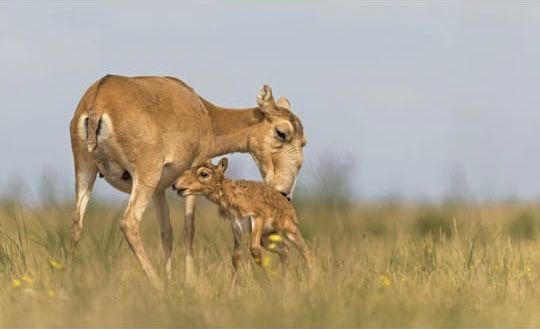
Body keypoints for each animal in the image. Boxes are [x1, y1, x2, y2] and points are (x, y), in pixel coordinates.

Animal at [68, 73, 306, 288]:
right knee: (129, 223)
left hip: (85, 170)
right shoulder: (192, 174)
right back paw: (157, 284)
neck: (205, 113)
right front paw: (188, 281)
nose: (284, 192)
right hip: (144, 176)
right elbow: (189, 229)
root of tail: (99, 99)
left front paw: (171, 278)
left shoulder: (159, 189)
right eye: (282, 132)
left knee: (76, 223)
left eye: (304, 141)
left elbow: (167, 232)